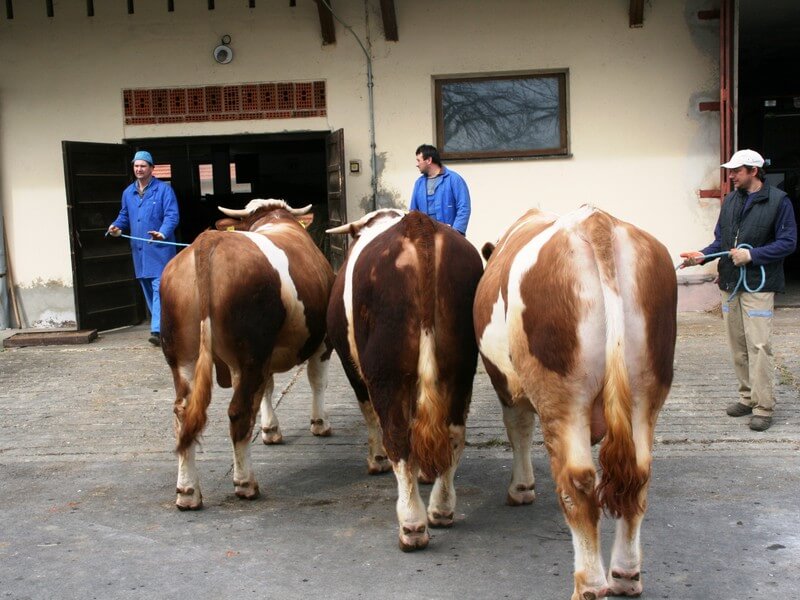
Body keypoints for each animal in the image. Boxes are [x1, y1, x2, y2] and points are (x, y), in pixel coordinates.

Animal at [161, 199, 336, 508]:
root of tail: (208, 242)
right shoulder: (321, 341)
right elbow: (317, 380)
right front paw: (319, 423)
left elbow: (266, 389)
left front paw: (270, 430)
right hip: (249, 354)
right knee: (239, 412)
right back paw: (245, 483)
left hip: (183, 357)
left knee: (183, 414)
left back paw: (188, 491)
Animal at [328, 209, 484, 552]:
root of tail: (417, 224)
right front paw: (425, 472)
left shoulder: (352, 367)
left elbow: (370, 415)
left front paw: (376, 461)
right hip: (460, 367)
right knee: (452, 433)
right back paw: (441, 508)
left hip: (386, 372)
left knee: (397, 436)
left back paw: (412, 524)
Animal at [476, 206, 676, 600]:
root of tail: (597, 222)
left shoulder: (505, 382)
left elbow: (518, 430)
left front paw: (521, 489)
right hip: (647, 393)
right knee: (638, 476)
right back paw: (625, 575)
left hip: (563, 398)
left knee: (578, 483)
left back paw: (589, 584)